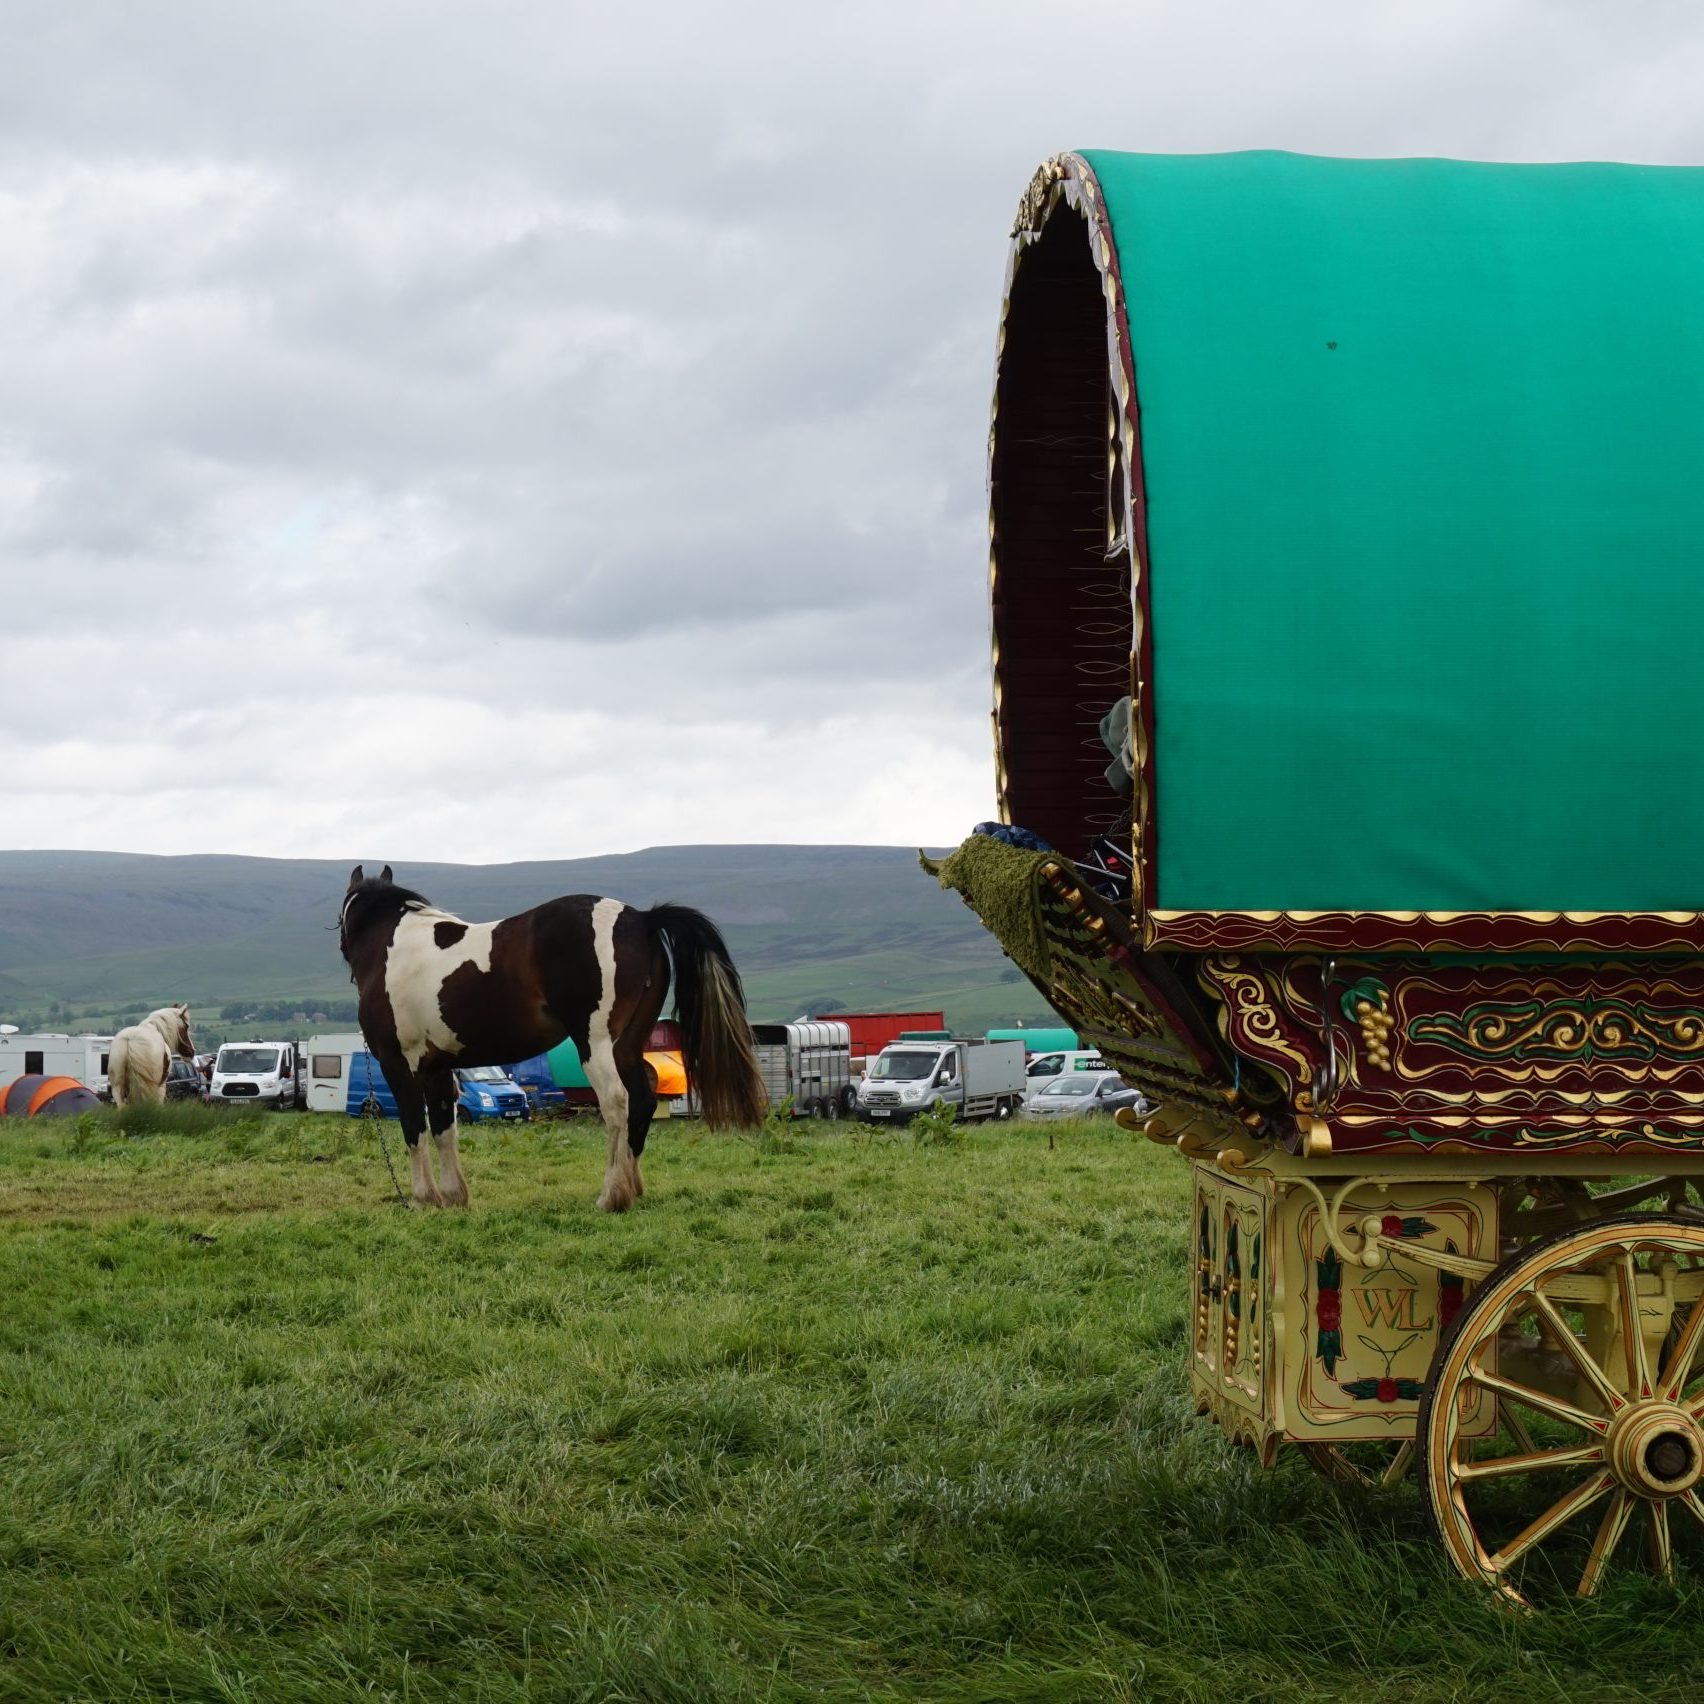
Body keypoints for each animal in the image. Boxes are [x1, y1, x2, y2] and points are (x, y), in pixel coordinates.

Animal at [335, 865, 763, 1213]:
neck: (394, 949)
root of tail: (641, 919)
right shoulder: (438, 1068)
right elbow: (444, 1128)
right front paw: (454, 1196)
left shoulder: (398, 1064)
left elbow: (414, 1126)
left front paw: (424, 1198)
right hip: (627, 1046)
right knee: (642, 1101)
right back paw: (633, 1186)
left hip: (595, 1043)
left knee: (616, 1103)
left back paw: (612, 1196)